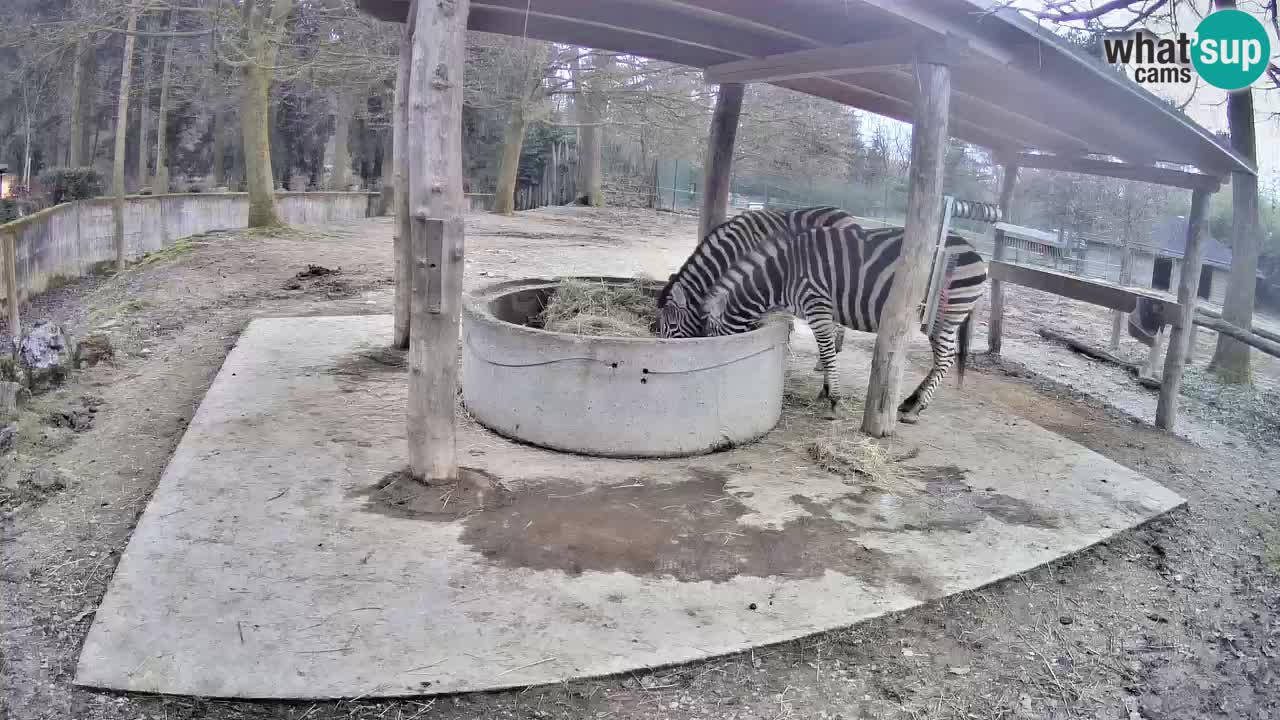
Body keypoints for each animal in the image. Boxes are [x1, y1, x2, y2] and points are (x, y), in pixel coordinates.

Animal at [700, 224, 988, 423]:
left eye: (713, 339)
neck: (782, 276)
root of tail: (976, 252)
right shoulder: (823, 311)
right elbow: (827, 350)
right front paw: (826, 391)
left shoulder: (816, 304)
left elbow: (828, 352)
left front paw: (835, 401)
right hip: (938, 319)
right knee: (942, 358)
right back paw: (910, 402)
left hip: (948, 313)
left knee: (946, 359)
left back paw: (915, 409)